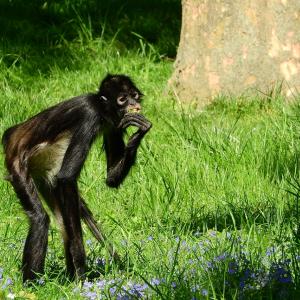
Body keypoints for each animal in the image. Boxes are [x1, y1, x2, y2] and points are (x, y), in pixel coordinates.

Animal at [1, 74, 152, 282]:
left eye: (134, 95)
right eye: (122, 99)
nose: (134, 105)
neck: (101, 107)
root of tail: (12, 134)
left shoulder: (114, 124)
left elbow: (110, 181)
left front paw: (142, 129)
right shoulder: (90, 114)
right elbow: (66, 178)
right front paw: (81, 266)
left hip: (46, 176)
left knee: (64, 224)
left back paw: (67, 278)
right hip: (17, 164)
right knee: (40, 219)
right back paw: (33, 284)